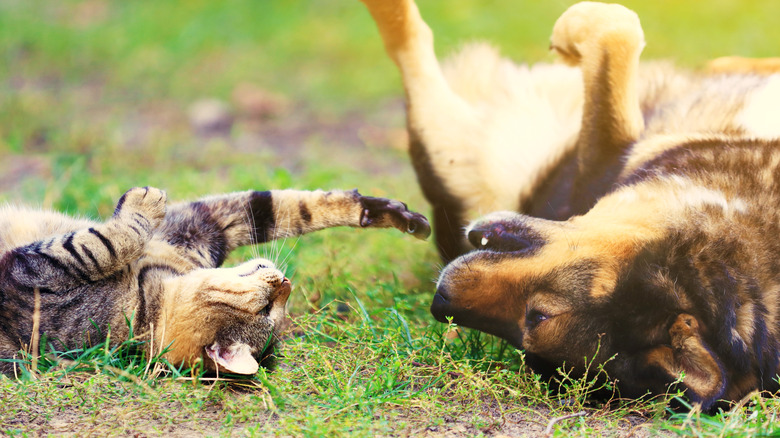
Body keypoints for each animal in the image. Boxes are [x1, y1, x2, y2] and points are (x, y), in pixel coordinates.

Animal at [0, 186, 432, 374]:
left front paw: (142, 201)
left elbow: (103, 243)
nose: (285, 281)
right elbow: (287, 205)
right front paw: (390, 212)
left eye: (272, 309)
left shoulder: (28, 282)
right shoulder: (198, 228)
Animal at [362, 0, 780, 410]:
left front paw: (569, 35)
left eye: (535, 318)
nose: (440, 302)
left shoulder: (603, 158)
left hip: (452, 145)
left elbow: (614, 28)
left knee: (407, 39)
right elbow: (622, 27)